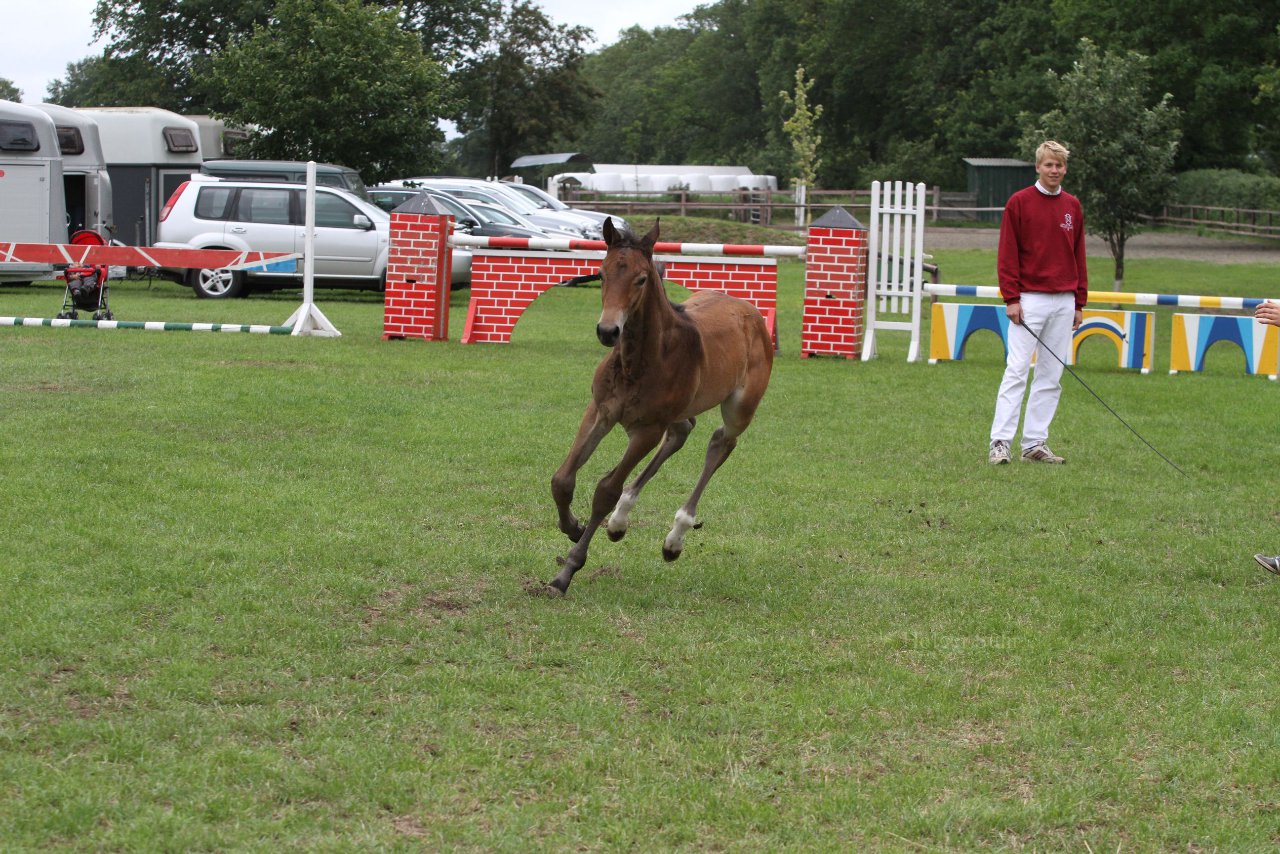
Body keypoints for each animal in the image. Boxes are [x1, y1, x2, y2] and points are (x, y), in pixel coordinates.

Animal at [547, 220, 773, 594]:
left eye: (641, 279)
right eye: (602, 273)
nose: (608, 331)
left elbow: (606, 489)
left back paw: (675, 538)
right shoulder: (599, 410)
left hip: (740, 407)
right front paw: (574, 527)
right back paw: (619, 522)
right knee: (682, 432)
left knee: (721, 442)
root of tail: (750, 311)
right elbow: (562, 479)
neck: (637, 363)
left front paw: (567, 571)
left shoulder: (647, 430)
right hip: (681, 410)